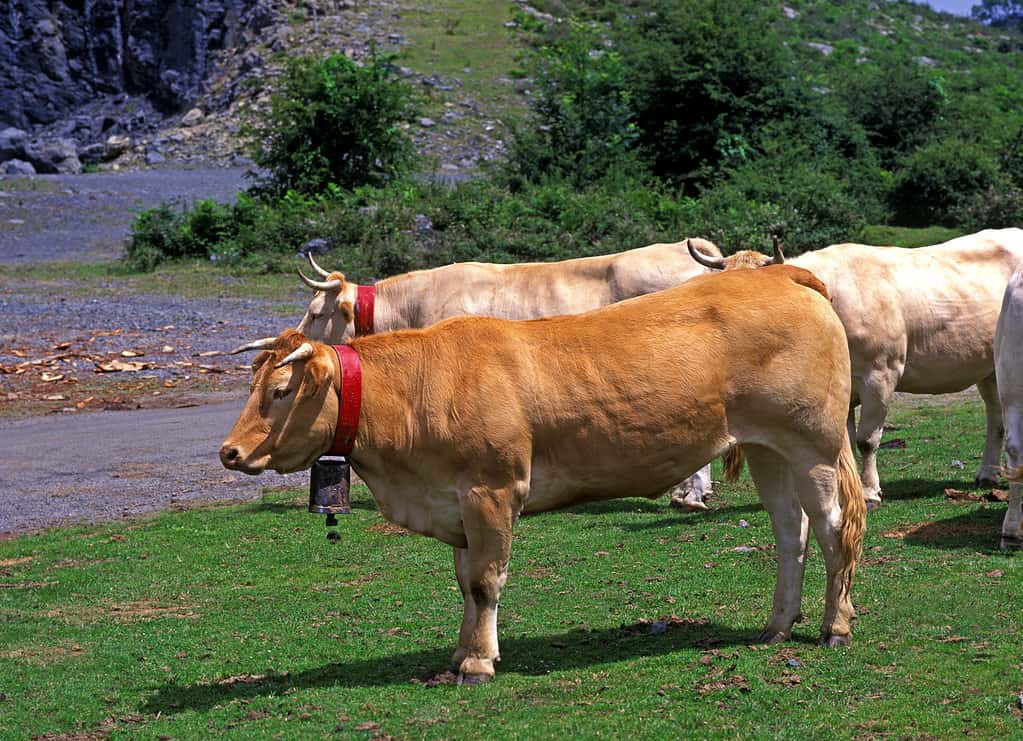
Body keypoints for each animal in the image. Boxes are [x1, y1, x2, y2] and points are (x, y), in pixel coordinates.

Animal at [687, 228, 1023, 509]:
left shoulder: (881, 375)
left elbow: (866, 440)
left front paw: (870, 492)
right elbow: (844, 441)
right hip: (990, 367)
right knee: (996, 418)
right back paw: (987, 474)